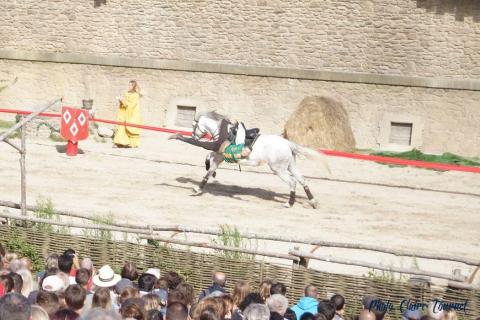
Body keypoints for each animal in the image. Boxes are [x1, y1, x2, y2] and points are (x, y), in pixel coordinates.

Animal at [176, 112, 330, 208]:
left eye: (194, 126)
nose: (193, 136)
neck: (225, 132)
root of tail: (287, 143)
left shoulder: (219, 155)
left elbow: (209, 164)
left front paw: (198, 187)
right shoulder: (219, 155)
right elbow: (209, 161)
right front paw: (204, 181)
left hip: (278, 169)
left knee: (293, 182)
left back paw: (289, 203)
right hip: (290, 166)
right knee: (302, 180)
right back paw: (313, 202)